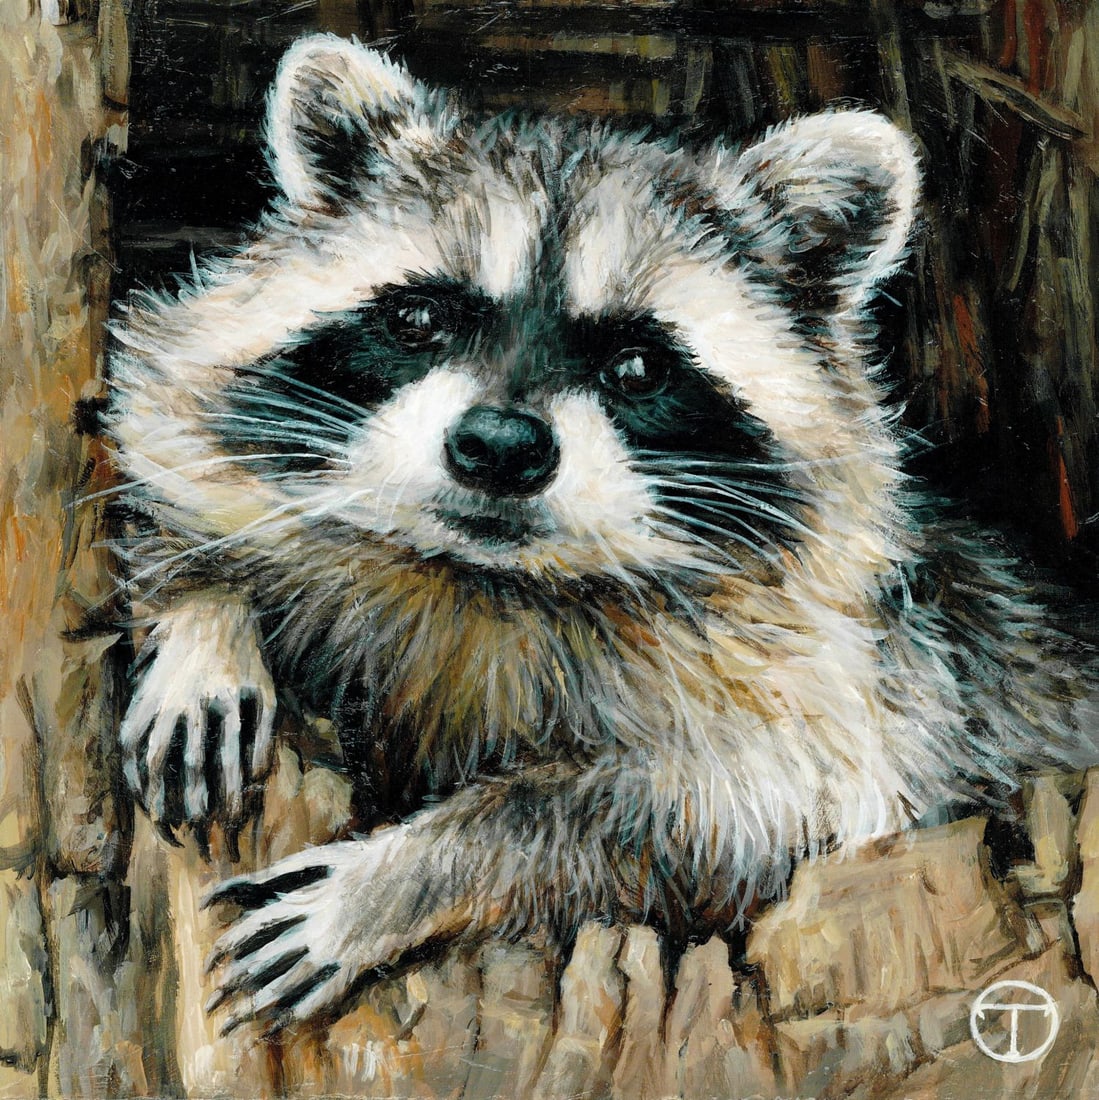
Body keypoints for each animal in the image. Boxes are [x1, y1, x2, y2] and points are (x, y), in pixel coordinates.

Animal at [107, 35, 1098, 1033]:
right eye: (419, 318)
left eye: (636, 366)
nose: (499, 447)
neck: (490, 578)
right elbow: (174, 469)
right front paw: (204, 622)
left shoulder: (854, 698)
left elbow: (732, 810)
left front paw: (405, 873)